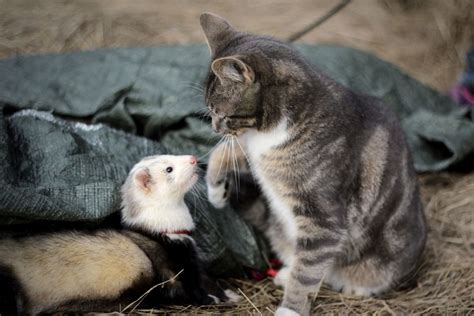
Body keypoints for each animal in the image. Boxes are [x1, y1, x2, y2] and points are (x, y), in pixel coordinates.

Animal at [198, 12, 428, 316]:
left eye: (220, 114)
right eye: (211, 113)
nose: (214, 126)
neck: (267, 132)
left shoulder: (323, 220)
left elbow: (308, 272)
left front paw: (290, 310)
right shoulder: (254, 149)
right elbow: (223, 153)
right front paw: (216, 191)